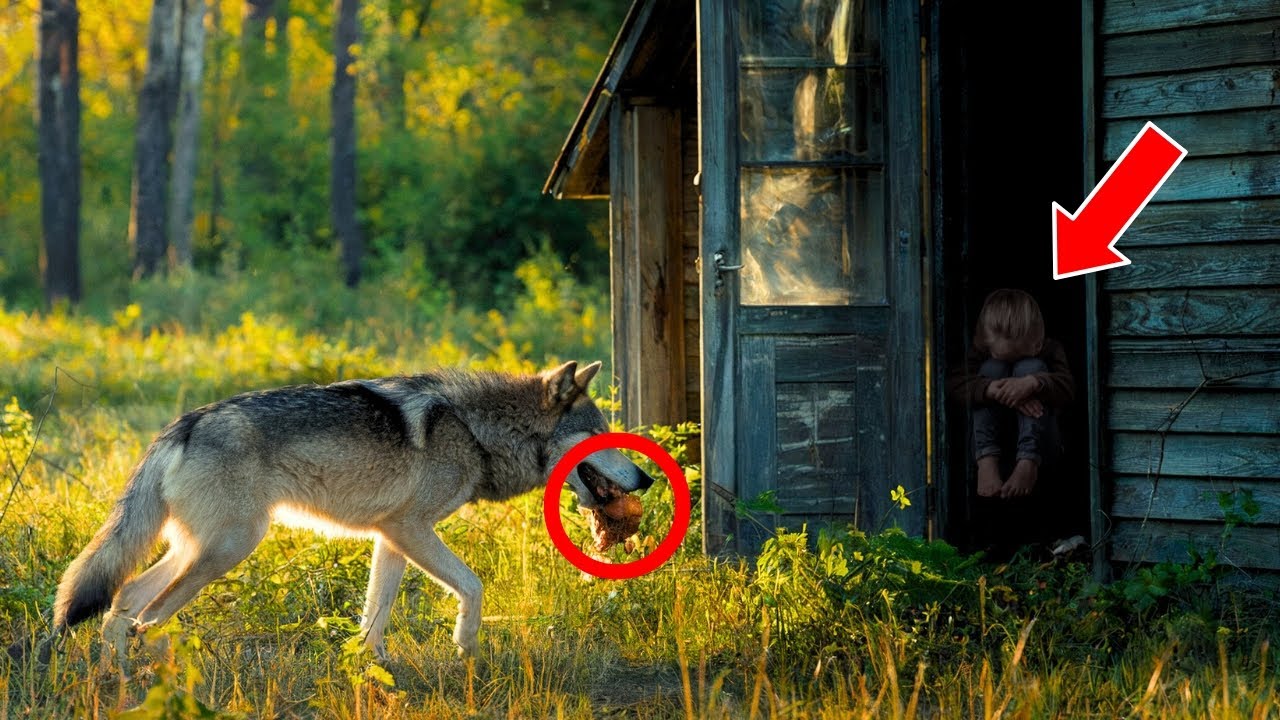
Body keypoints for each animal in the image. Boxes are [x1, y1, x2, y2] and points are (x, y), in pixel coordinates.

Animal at [49, 360, 652, 662]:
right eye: (600, 434)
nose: (647, 477)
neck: (477, 431)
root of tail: (184, 423)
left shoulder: (391, 537)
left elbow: (374, 616)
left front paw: (372, 667)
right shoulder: (410, 528)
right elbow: (474, 586)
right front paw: (466, 648)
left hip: (194, 550)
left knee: (125, 599)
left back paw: (115, 674)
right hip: (227, 550)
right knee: (148, 615)